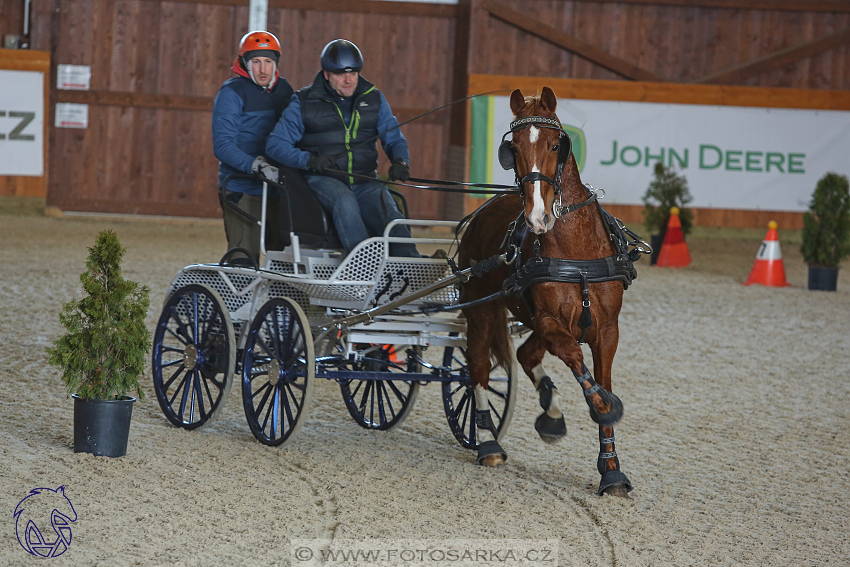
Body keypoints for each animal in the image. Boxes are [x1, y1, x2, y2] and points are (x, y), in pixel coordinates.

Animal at [458, 87, 644, 496]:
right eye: (513, 147)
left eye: (557, 144)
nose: (537, 217)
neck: (578, 252)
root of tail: (482, 212)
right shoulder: (549, 321)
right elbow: (578, 361)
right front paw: (602, 408)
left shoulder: (607, 330)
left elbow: (600, 379)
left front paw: (612, 470)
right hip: (480, 311)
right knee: (478, 368)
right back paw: (489, 443)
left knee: (524, 355)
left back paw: (549, 411)